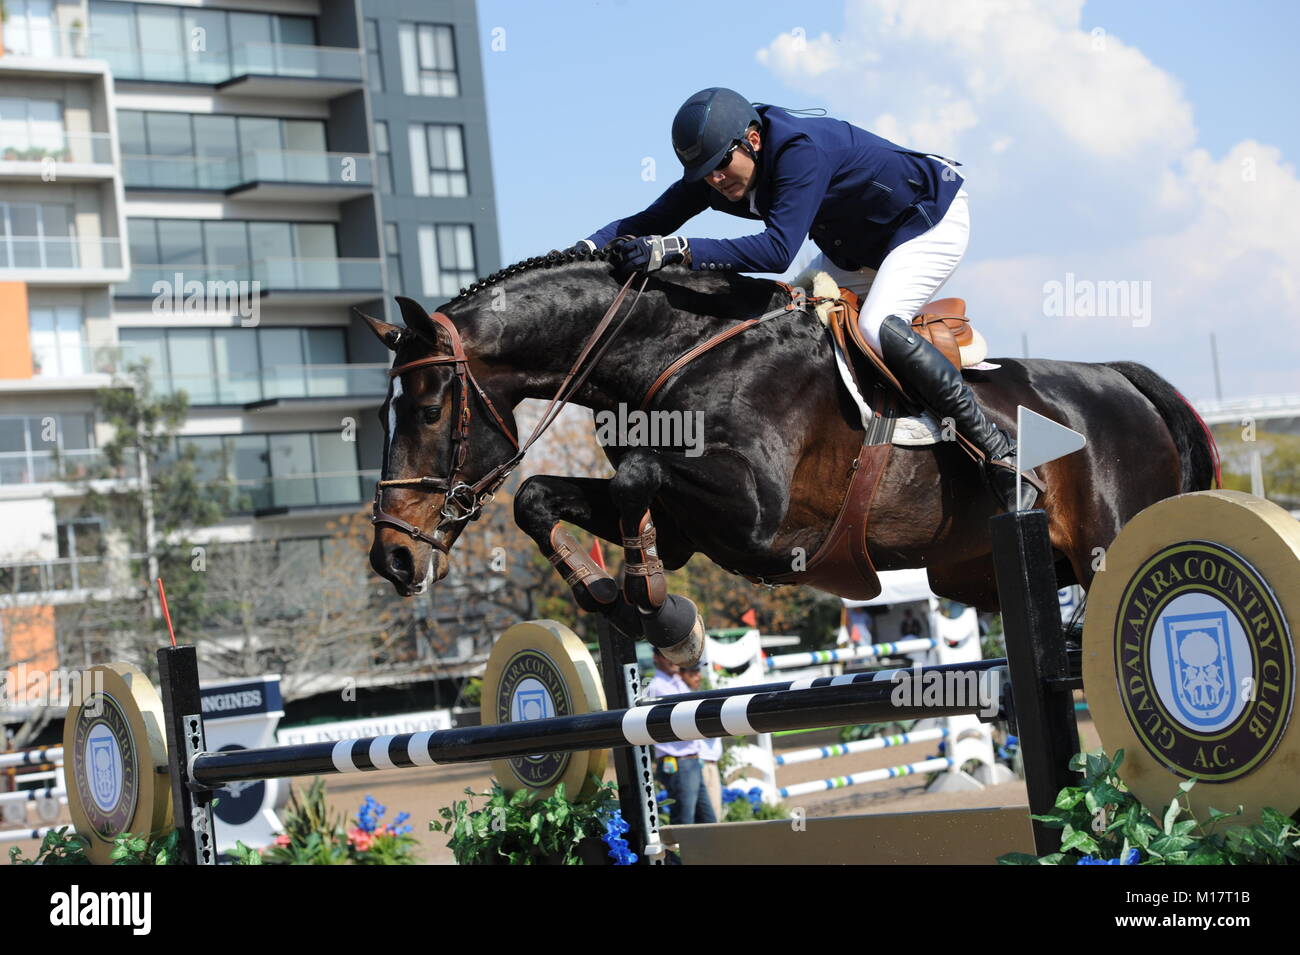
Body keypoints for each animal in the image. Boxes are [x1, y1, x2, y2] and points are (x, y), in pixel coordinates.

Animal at [364, 246, 1216, 665]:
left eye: (430, 409)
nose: (392, 558)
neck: (676, 349)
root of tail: (1120, 379)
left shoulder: (757, 516)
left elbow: (635, 477)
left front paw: (658, 608)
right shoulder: (690, 525)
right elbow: (538, 496)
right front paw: (623, 600)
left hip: (1110, 541)